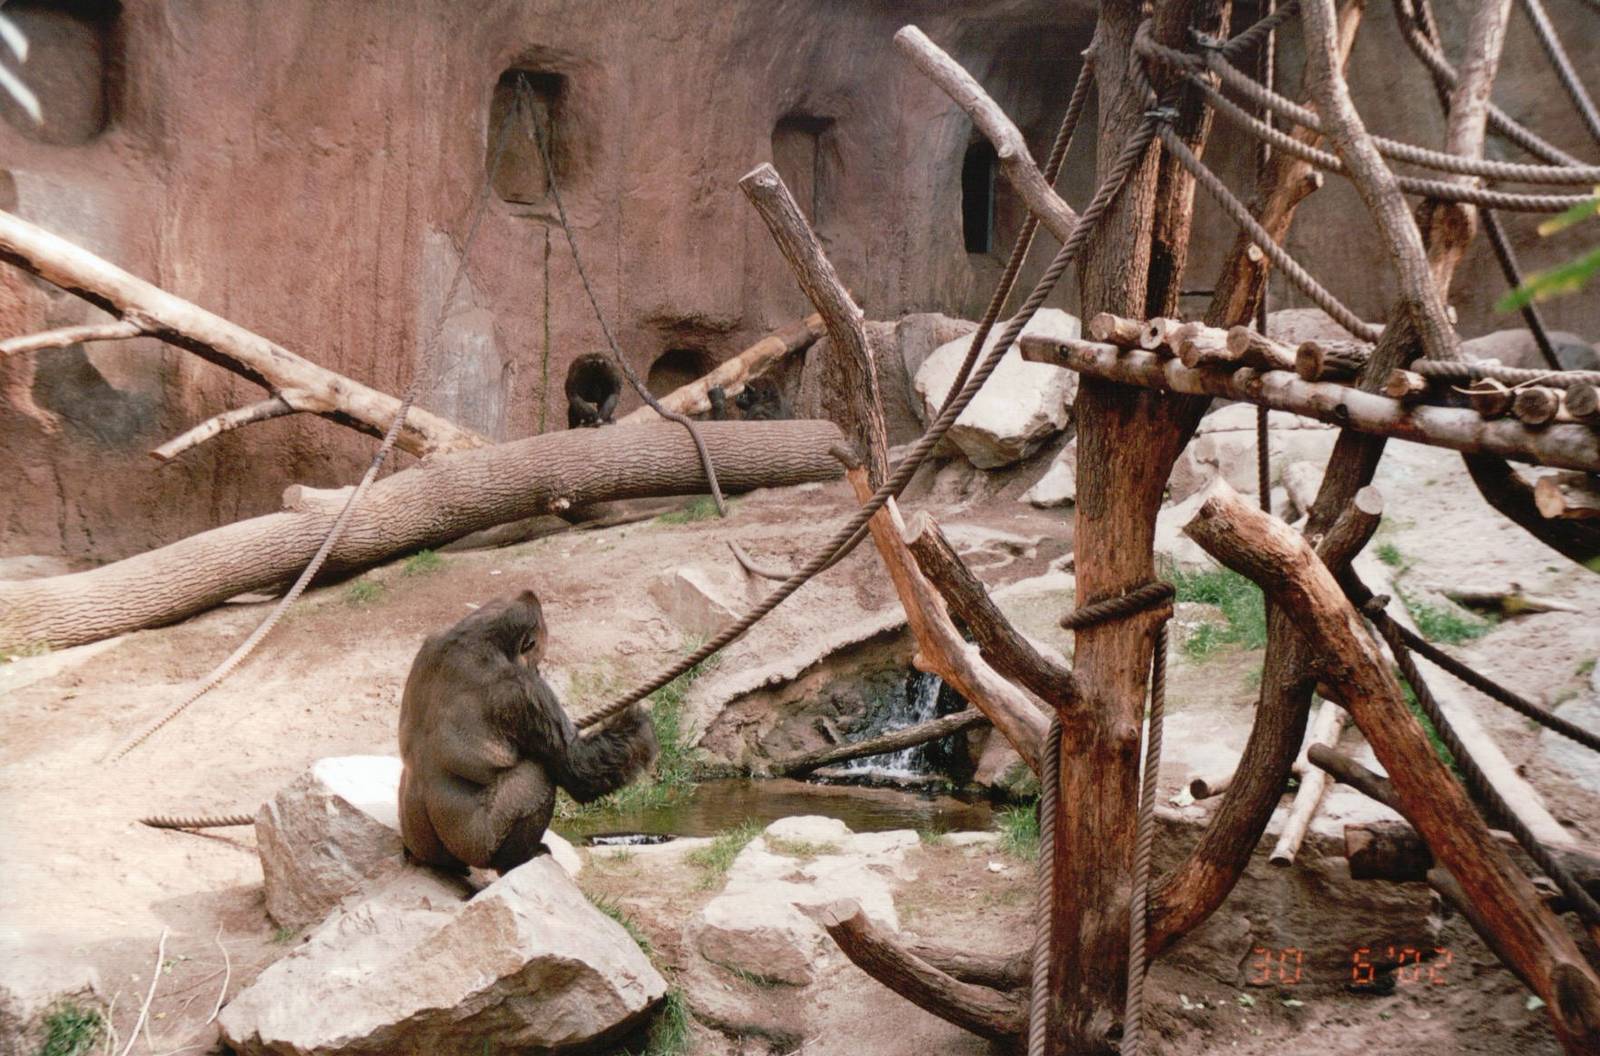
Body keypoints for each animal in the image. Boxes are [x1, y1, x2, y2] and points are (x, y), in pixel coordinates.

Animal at [397, 590, 657, 873]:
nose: (538, 669)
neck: (479, 635)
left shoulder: (431, 642)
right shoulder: (525, 691)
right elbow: (578, 767)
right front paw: (638, 729)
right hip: (477, 847)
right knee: (536, 775)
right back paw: (518, 859)